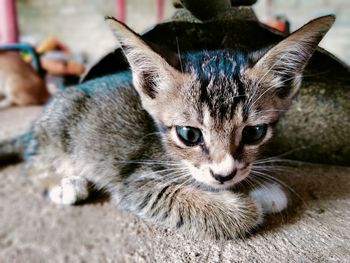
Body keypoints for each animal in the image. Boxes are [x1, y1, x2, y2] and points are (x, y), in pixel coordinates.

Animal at [0, 15, 334, 240]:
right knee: (34, 164)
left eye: (254, 133)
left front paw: (260, 188)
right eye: (189, 134)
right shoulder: (136, 182)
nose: (223, 174)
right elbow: (184, 199)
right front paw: (246, 205)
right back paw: (64, 183)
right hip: (58, 131)